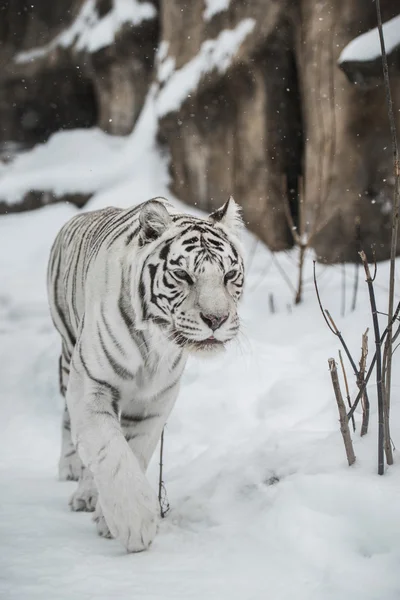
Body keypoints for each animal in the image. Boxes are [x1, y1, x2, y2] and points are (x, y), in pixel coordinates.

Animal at [47, 197, 244, 552]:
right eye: (182, 274)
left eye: (229, 275)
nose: (216, 319)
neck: (154, 343)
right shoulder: (92, 385)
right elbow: (110, 451)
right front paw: (134, 523)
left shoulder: (154, 399)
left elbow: (134, 449)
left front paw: (108, 519)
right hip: (69, 351)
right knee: (72, 426)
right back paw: (72, 472)